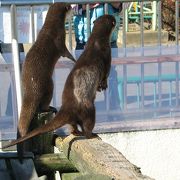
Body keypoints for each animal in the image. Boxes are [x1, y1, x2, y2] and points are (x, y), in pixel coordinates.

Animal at [3, 14, 116, 148]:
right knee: (87, 127)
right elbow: (105, 74)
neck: (96, 41)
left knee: (73, 126)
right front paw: (103, 85)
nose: (115, 16)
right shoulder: (107, 55)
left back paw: (77, 132)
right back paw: (93, 135)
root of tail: (67, 108)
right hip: (89, 109)